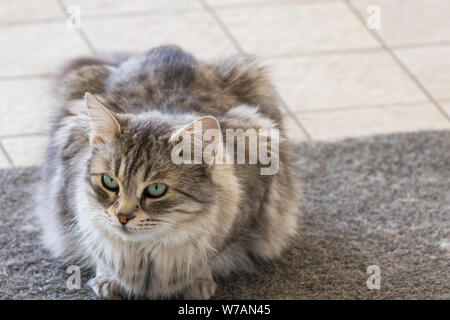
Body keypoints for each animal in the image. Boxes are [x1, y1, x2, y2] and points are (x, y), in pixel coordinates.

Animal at [36, 45, 302, 300]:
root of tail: (168, 48)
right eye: (109, 182)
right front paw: (108, 279)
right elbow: (99, 248)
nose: (122, 217)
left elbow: (207, 256)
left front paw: (197, 282)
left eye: (156, 189)